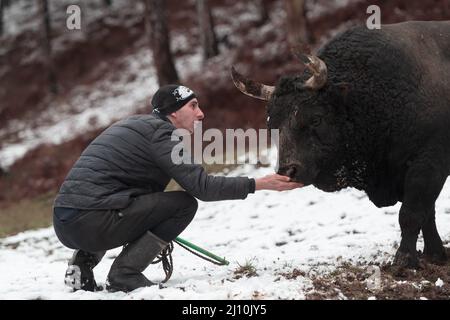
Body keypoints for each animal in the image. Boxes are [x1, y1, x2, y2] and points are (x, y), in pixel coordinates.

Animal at [232, 20, 450, 268]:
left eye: (315, 118)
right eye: (271, 126)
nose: (288, 171)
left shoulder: (428, 164)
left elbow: (411, 214)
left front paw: (404, 261)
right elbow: (427, 214)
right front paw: (435, 254)